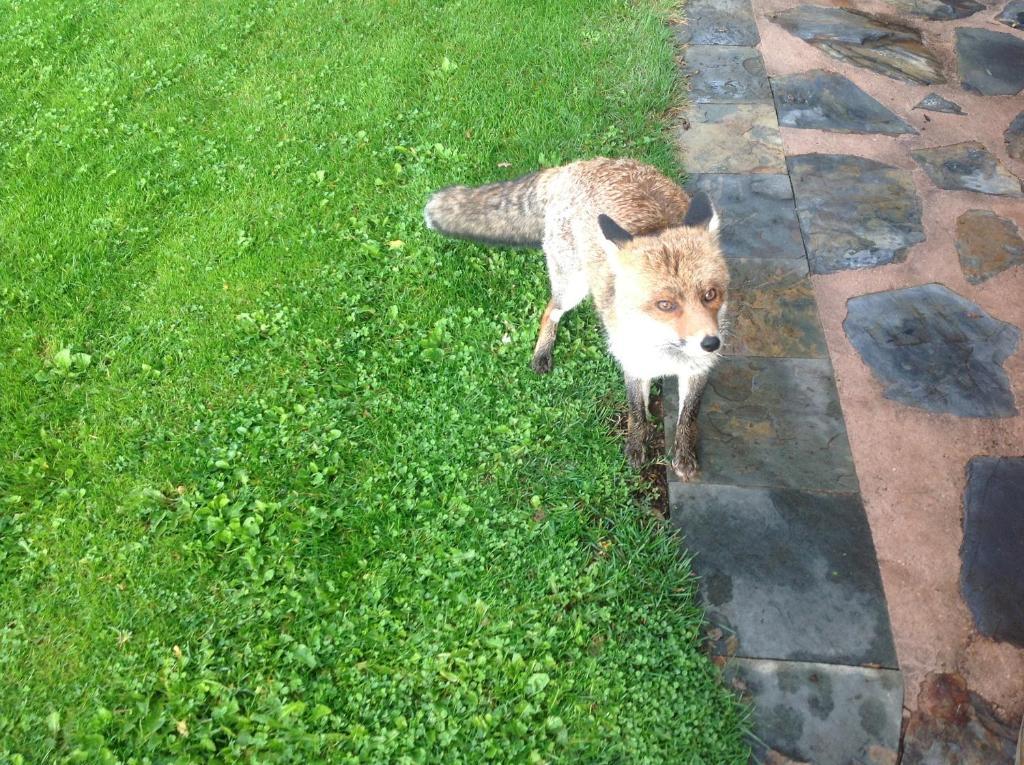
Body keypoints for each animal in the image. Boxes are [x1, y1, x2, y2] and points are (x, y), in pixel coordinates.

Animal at [423, 157, 729, 481]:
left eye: (710, 294)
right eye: (665, 304)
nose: (712, 343)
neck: (667, 351)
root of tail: (577, 165)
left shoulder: (697, 370)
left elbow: (688, 417)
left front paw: (684, 456)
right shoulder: (633, 364)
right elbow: (637, 413)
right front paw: (636, 448)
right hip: (573, 285)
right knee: (550, 310)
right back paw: (542, 352)